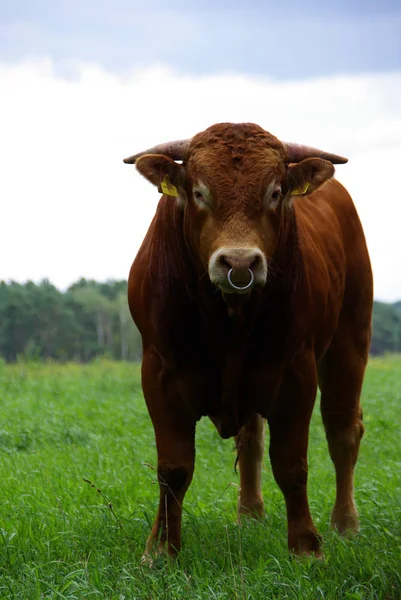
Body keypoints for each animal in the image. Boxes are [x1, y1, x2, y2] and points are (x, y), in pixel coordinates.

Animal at [124, 122, 372, 556]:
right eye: (199, 192)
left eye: (274, 192)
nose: (239, 262)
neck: (228, 317)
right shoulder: (158, 373)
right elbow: (173, 468)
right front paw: (161, 548)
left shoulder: (296, 373)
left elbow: (291, 465)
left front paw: (306, 547)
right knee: (251, 437)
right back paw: (250, 513)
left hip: (350, 339)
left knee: (342, 430)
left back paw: (345, 523)